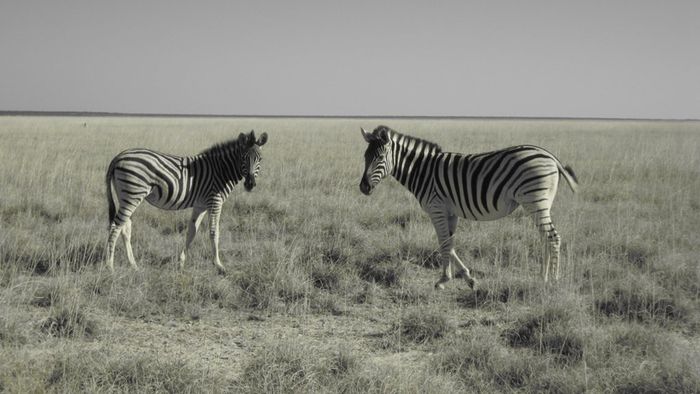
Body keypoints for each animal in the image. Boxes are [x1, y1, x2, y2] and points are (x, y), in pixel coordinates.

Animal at [105, 129, 270, 274]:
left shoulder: (201, 205)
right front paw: (219, 266)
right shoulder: (215, 201)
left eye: (260, 159)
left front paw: (181, 263)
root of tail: (119, 156)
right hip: (132, 194)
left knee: (125, 228)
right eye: (243, 158)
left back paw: (133, 265)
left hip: (126, 196)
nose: (250, 184)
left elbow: (192, 232)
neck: (221, 171)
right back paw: (110, 267)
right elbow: (214, 232)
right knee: (115, 227)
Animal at [358, 126, 576, 290]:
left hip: (535, 201)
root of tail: (549, 156)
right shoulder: (450, 212)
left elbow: (444, 243)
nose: (363, 188)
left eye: (380, 158)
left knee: (553, 237)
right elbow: (450, 243)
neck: (422, 171)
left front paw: (443, 280)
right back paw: (542, 278)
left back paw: (553, 281)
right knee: (545, 237)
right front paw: (466, 278)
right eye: (365, 157)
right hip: (539, 204)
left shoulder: (436, 209)